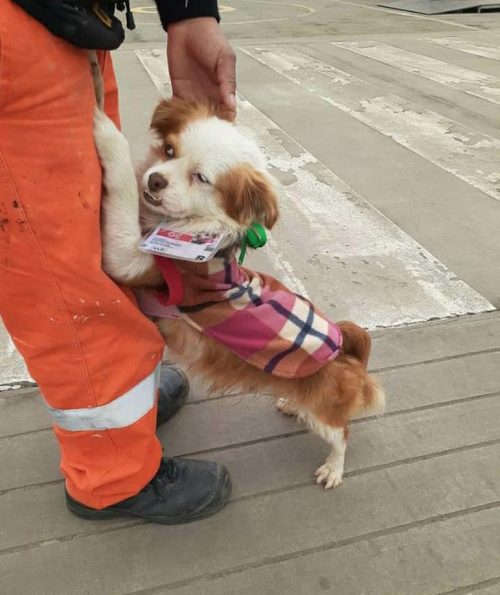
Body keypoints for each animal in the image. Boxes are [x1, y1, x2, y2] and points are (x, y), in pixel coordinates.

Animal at [93, 99, 382, 488]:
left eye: (201, 178)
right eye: (169, 150)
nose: (155, 179)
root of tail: (344, 349)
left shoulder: (129, 259)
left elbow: (122, 188)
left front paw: (104, 129)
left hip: (325, 412)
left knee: (342, 434)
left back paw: (333, 469)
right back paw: (291, 404)